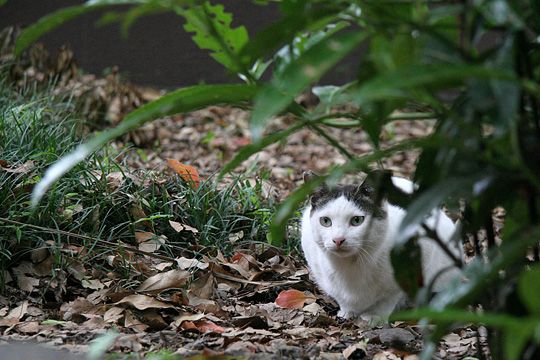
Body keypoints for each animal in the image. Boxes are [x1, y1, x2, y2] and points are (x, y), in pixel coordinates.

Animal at [300, 173, 460, 322]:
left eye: (357, 220)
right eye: (325, 221)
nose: (338, 239)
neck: (349, 266)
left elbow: (388, 299)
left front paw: (374, 317)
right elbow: (341, 297)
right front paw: (347, 311)